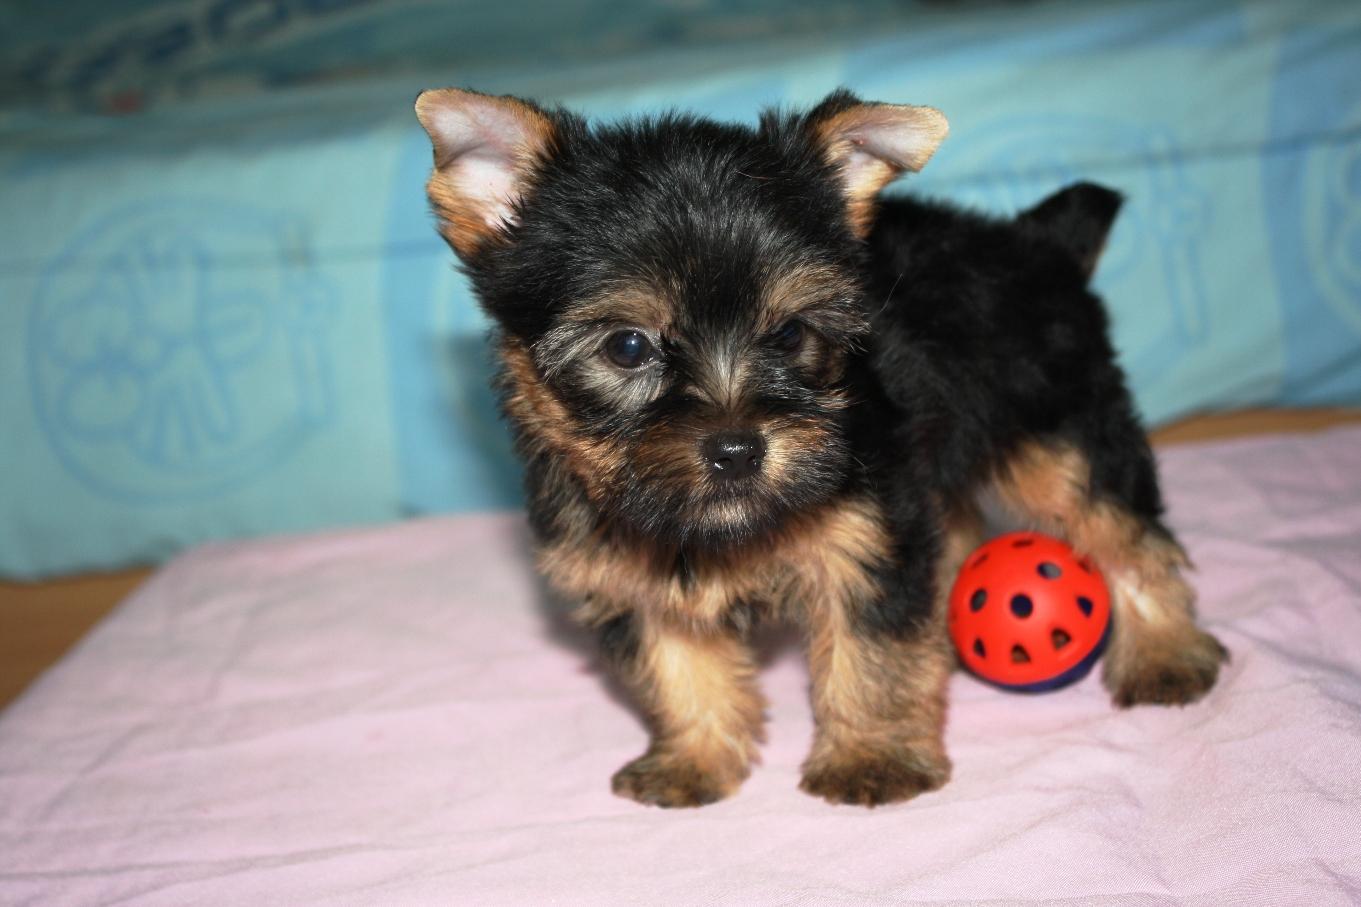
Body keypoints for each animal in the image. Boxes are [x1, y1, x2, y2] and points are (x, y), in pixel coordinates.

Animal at [413, 88, 1228, 808]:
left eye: (789, 333)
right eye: (627, 346)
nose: (737, 448)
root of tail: (1032, 245)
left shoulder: (866, 533)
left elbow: (871, 649)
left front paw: (873, 757)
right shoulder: (625, 563)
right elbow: (676, 660)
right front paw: (695, 757)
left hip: (1056, 428)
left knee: (1119, 529)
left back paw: (1165, 653)